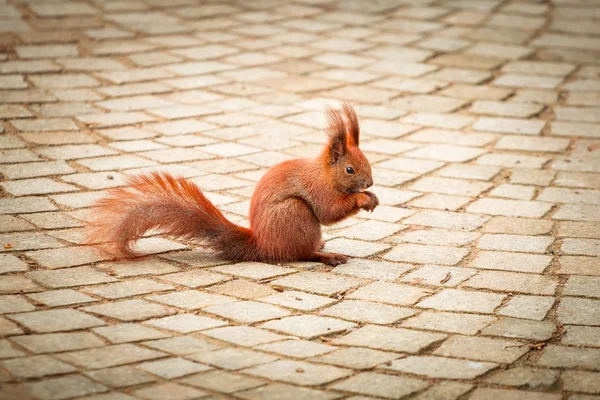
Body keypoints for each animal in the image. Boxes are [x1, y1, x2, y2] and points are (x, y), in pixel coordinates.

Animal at [85, 102, 378, 266]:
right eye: (350, 169)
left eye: (367, 160)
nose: (370, 182)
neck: (324, 174)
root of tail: (262, 244)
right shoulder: (317, 189)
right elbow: (329, 212)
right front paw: (363, 199)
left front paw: (373, 196)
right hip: (295, 214)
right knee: (300, 254)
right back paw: (326, 256)